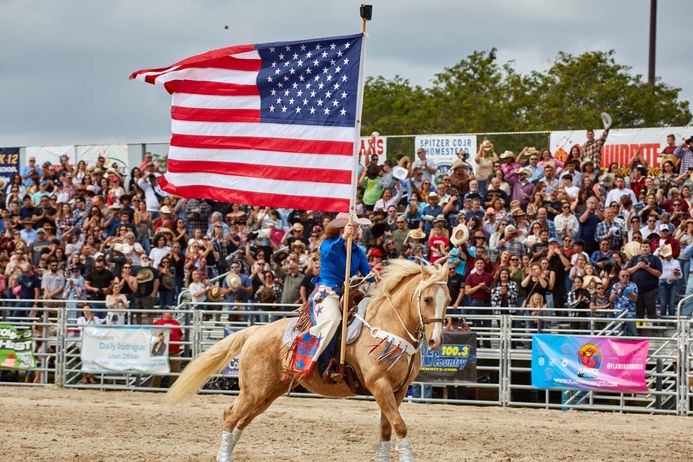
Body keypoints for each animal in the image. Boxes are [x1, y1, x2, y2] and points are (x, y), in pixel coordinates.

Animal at [166, 260, 452, 462]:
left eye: (448, 300)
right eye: (427, 299)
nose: (435, 340)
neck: (386, 326)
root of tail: (255, 331)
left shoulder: (397, 390)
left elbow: (386, 428)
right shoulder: (379, 385)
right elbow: (400, 427)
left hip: (267, 394)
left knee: (242, 420)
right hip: (253, 391)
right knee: (230, 415)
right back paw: (224, 456)